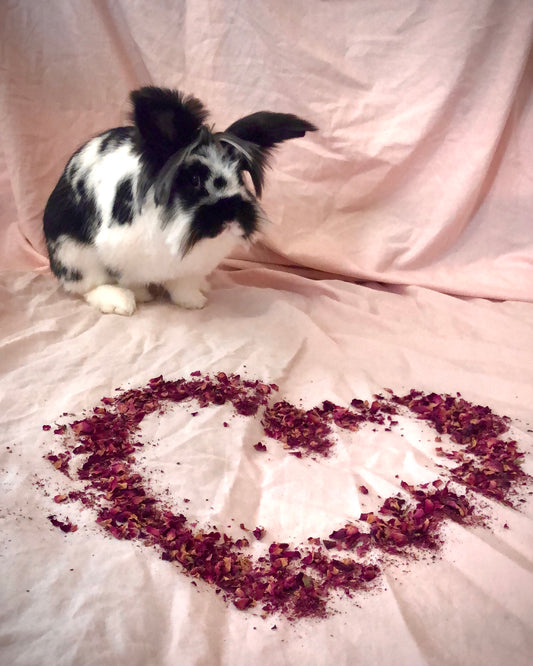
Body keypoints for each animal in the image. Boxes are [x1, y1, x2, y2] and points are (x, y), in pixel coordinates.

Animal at [43, 85, 316, 314]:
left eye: (240, 175)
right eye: (194, 180)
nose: (230, 216)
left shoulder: (189, 266)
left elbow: (183, 284)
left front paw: (193, 301)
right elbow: (128, 279)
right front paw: (139, 297)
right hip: (73, 255)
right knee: (87, 285)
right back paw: (118, 301)